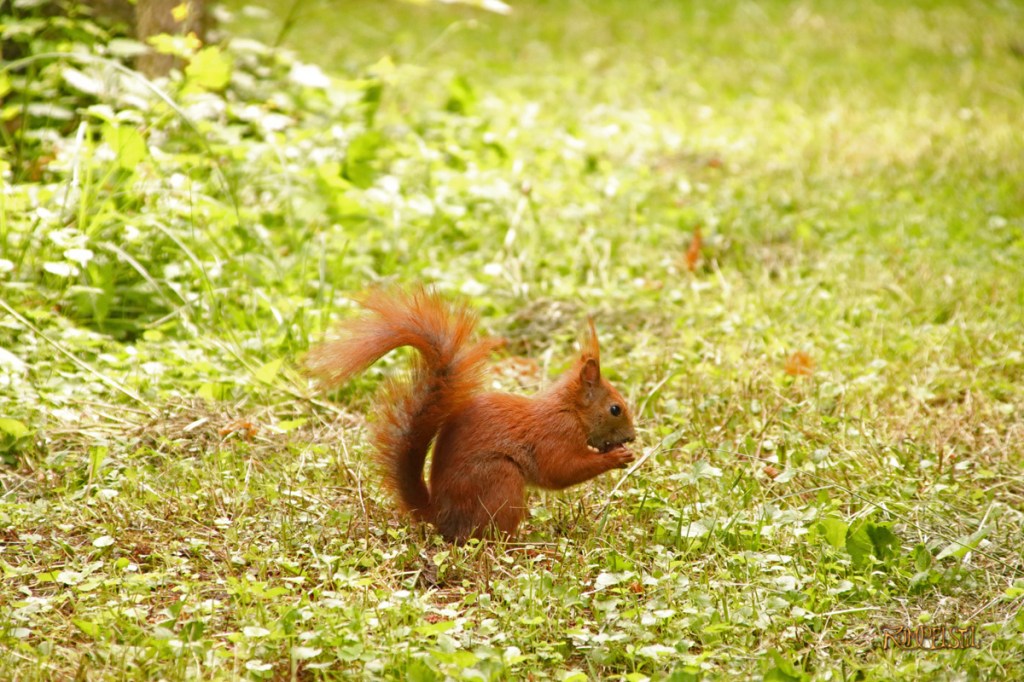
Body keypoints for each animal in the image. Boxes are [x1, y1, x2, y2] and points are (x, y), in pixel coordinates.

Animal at [306, 287, 637, 542]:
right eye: (615, 409)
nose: (632, 437)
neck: (570, 410)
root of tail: (440, 515)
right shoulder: (555, 434)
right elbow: (561, 470)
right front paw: (616, 458)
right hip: (500, 480)